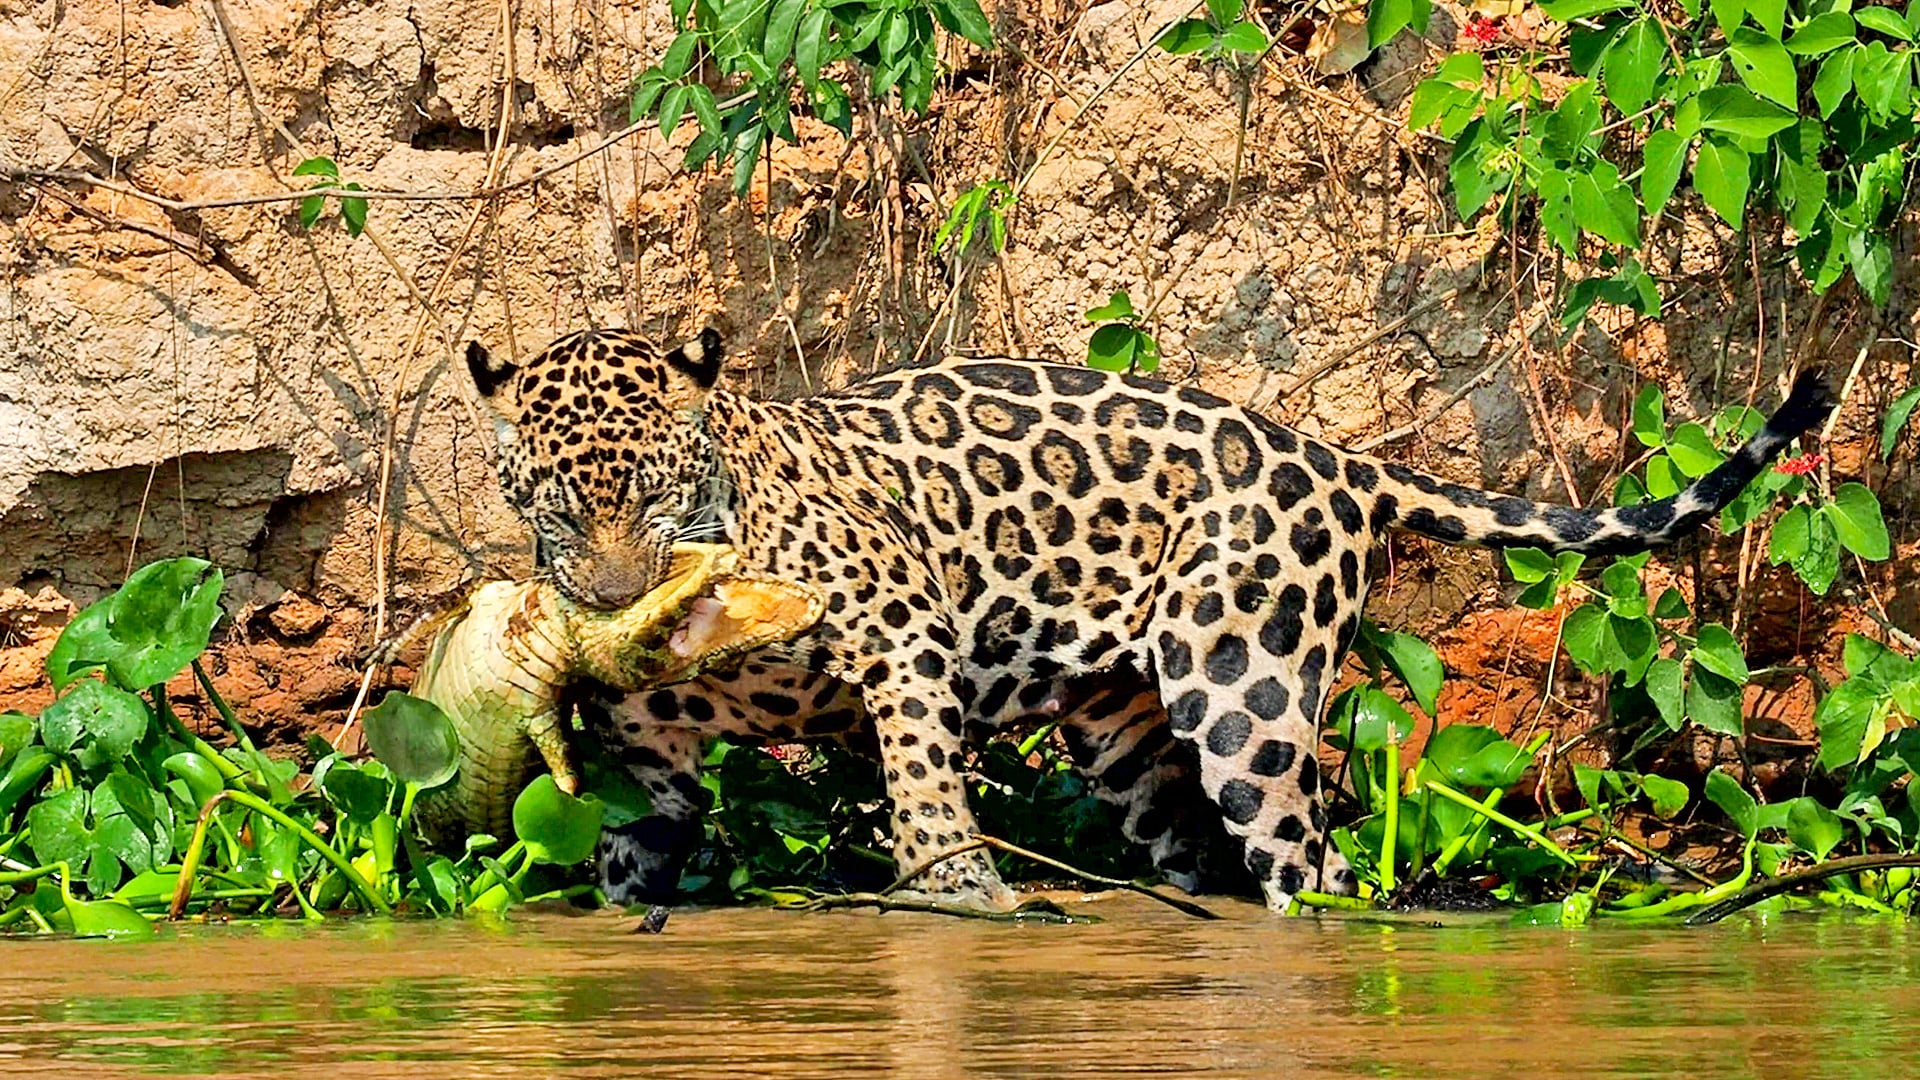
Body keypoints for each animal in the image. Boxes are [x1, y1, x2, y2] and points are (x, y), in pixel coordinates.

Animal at [464, 326, 1831, 912]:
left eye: (653, 492)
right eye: (551, 501)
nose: (606, 601)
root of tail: (1333, 456)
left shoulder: (904, 628)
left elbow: (922, 783)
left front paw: (961, 895)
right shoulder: (652, 761)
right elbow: (630, 845)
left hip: (1247, 697)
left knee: (1317, 872)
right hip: (1127, 739)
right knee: (1197, 852)